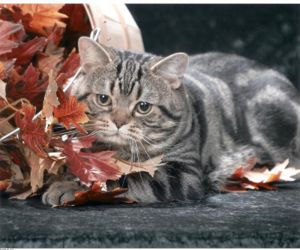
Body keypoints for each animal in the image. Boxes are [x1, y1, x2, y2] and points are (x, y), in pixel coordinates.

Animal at [41, 36, 300, 205]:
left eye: (143, 107)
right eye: (103, 99)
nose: (119, 122)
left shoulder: (182, 174)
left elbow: (122, 178)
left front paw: (72, 187)